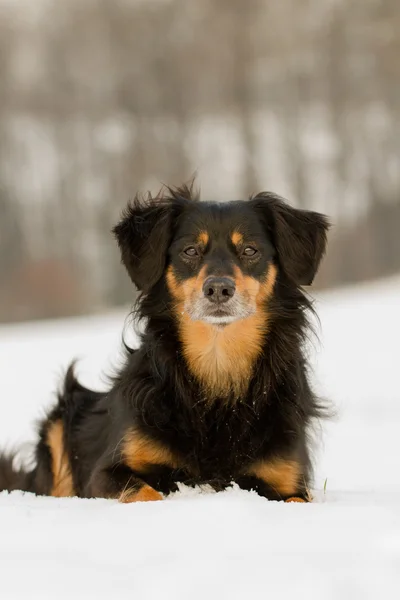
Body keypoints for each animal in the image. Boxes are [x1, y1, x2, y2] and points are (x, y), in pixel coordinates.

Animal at [0, 183, 330, 502]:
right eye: (190, 250)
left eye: (250, 250)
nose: (219, 289)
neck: (218, 362)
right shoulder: (105, 474)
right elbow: (146, 493)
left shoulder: (288, 482)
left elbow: (297, 499)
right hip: (61, 421)